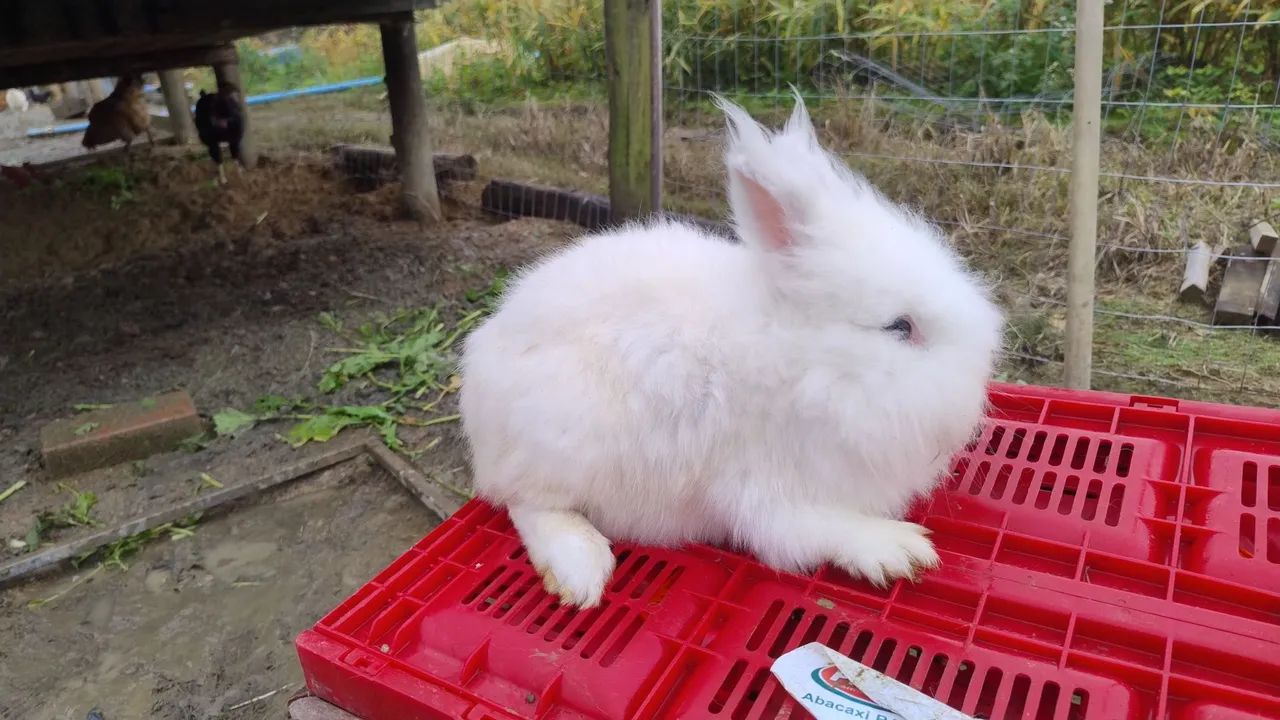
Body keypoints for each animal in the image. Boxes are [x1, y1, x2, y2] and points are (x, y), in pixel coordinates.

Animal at [459, 94, 1003, 608]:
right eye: (900, 326)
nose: (975, 386)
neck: (800, 365)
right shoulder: (765, 489)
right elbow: (812, 529)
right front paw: (900, 549)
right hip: (565, 440)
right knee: (527, 504)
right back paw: (582, 569)